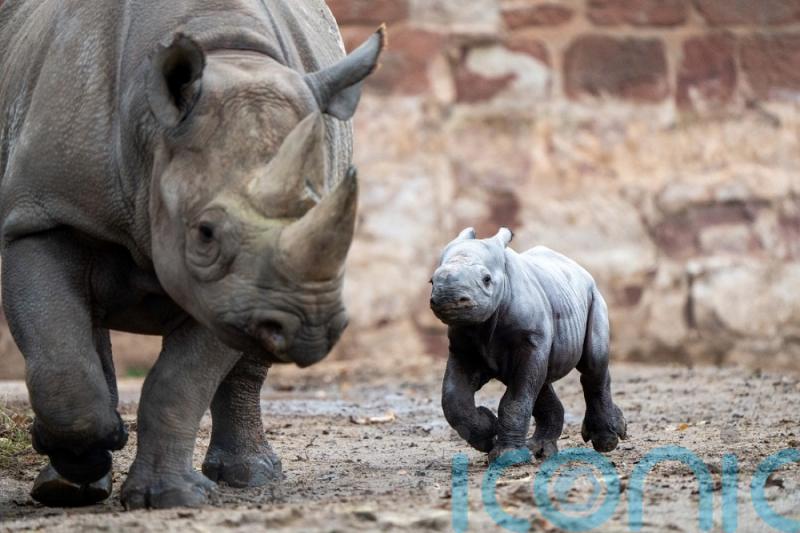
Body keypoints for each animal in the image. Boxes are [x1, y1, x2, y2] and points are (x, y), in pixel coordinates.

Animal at [0, 0, 384, 509]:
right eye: (205, 234)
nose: (311, 328)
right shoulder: (43, 212)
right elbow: (59, 359)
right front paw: (79, 468)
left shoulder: (232, 293)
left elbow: (181, 381)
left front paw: (169, 498)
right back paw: (71, 479)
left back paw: (250, 476)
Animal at [429, 228, 627, 463]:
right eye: (431, 281)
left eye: (486, 280)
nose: (449, 299)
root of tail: (580, 269)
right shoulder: (463, 347)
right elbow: (453, 400)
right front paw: (488, 433)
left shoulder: (531, 341)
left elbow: (516, 399)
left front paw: (508, 456)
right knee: (540, 381)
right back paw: (540, 451)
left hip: (594, 297)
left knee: (592, 365)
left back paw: (606, 442)